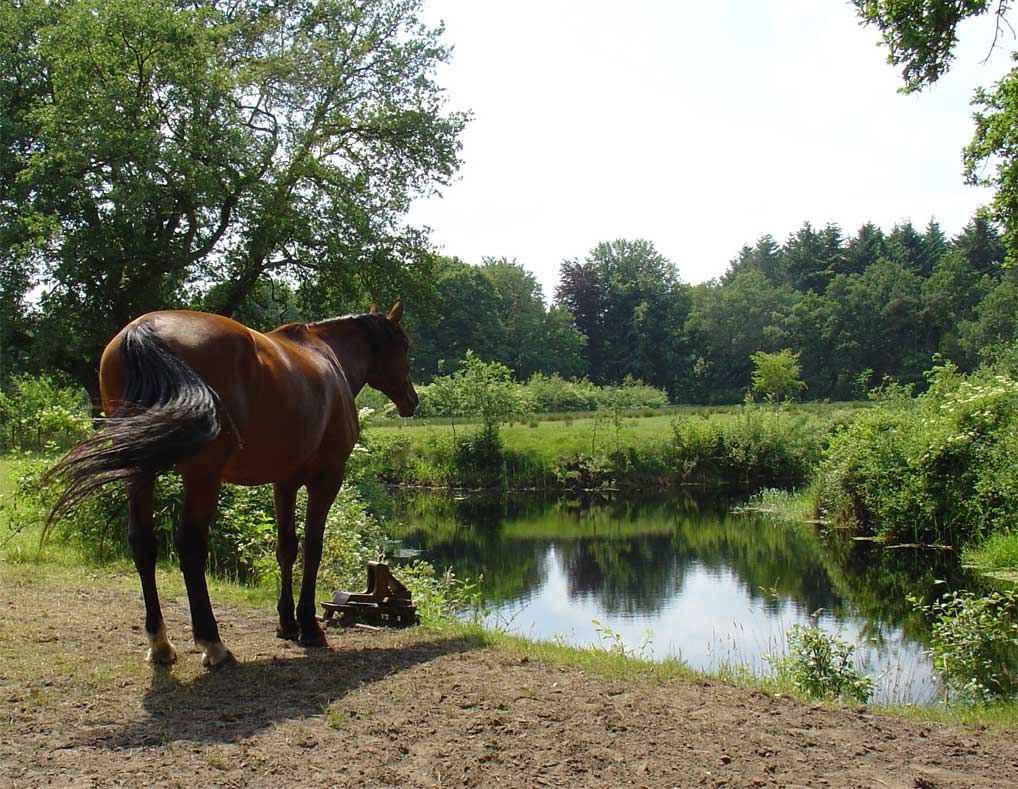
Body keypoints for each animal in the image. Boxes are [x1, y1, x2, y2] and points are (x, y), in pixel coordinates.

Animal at [45, 303, 415, 667]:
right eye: (406, 346)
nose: (413, 400)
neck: (326, 356)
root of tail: (143, 330)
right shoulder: (326, 478)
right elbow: (313, 547)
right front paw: (309, 626)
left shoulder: (284, 482)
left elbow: (286, 548)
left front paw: (287, 623)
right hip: (202, 475)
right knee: (191, 547)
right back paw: (213, 643)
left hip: (141, 471)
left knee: (142, 543)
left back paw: (160, 644)